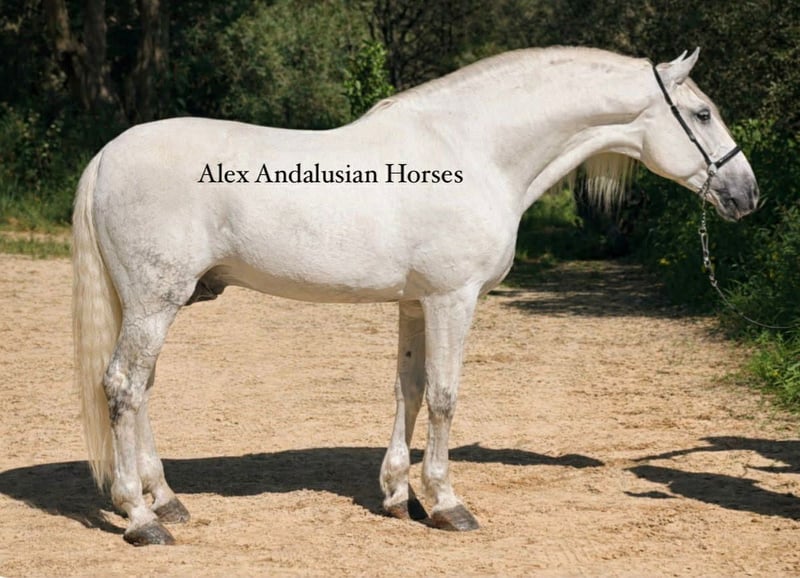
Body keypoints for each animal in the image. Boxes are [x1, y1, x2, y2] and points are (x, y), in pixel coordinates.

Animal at [72, 46, 759, 545]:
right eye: (702, 114)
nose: (747, 194)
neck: (476, 151)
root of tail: (106, 156)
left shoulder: (414, 303)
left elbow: (409, 389)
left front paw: (400, 497)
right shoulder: (454, 298)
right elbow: (446, 396)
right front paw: (448, 504)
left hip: (152, 304)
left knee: (141, 389)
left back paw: (167, 500)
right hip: (154, 302)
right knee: (124, 388)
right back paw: (141, 518)